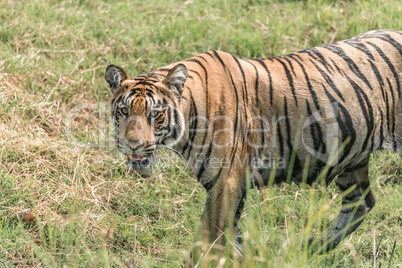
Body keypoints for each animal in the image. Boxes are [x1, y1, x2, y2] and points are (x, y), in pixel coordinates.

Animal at [104, 29, 402, 264]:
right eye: (123, 111)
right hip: (352, 159)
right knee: (361, 203)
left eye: (155, 114)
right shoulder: (234, 184)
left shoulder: (225, 181)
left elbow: (206, 238)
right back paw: (307, 247)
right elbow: (229, 236)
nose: (133, 145)